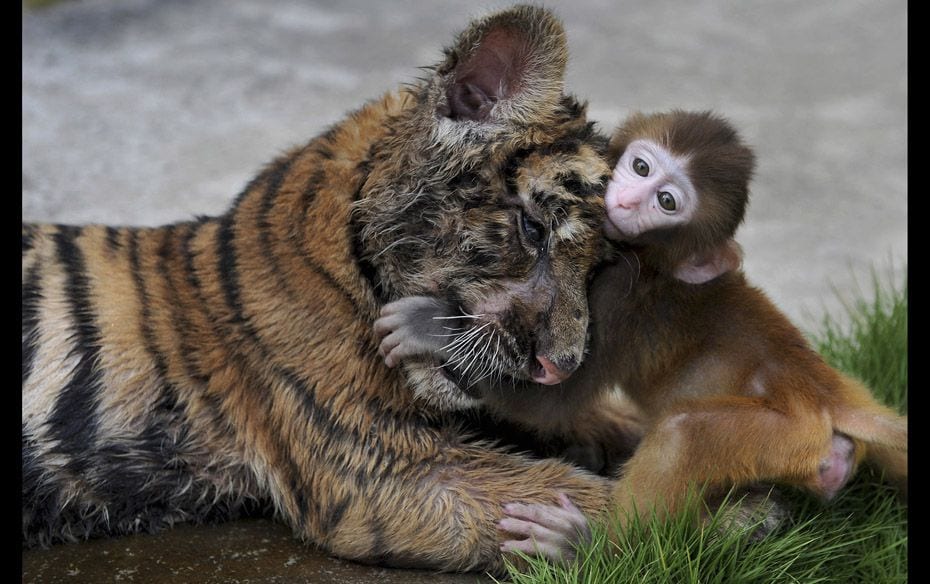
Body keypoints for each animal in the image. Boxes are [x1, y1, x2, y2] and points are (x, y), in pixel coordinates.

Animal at [372, 109, 908, 560]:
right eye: (642, 166)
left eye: (667, 202)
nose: (628, 198)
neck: (650, 260)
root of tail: (828, 390)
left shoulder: (617, 296)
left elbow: (551, 400)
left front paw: (432, 327)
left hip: (785, 433)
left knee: (682, 432)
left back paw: (589, 546)